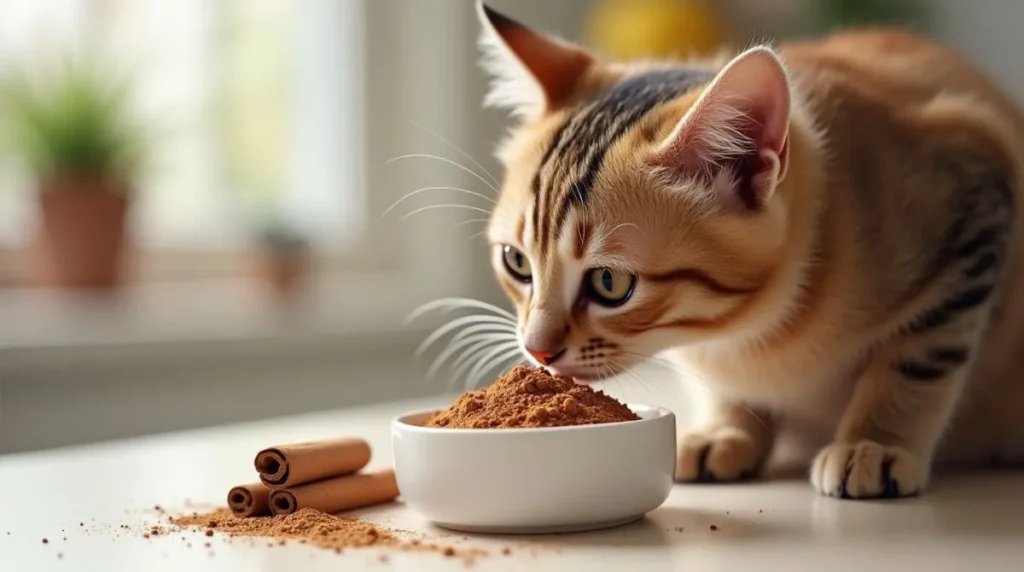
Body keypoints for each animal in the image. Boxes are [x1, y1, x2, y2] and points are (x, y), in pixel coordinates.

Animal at [473, 0, 1024, 499]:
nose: (537, 349)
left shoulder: (974, 204)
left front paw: (876, 443)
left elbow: (917, 359)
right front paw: (724, 430)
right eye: (516, 262)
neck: (738, 333)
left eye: (611, 283)